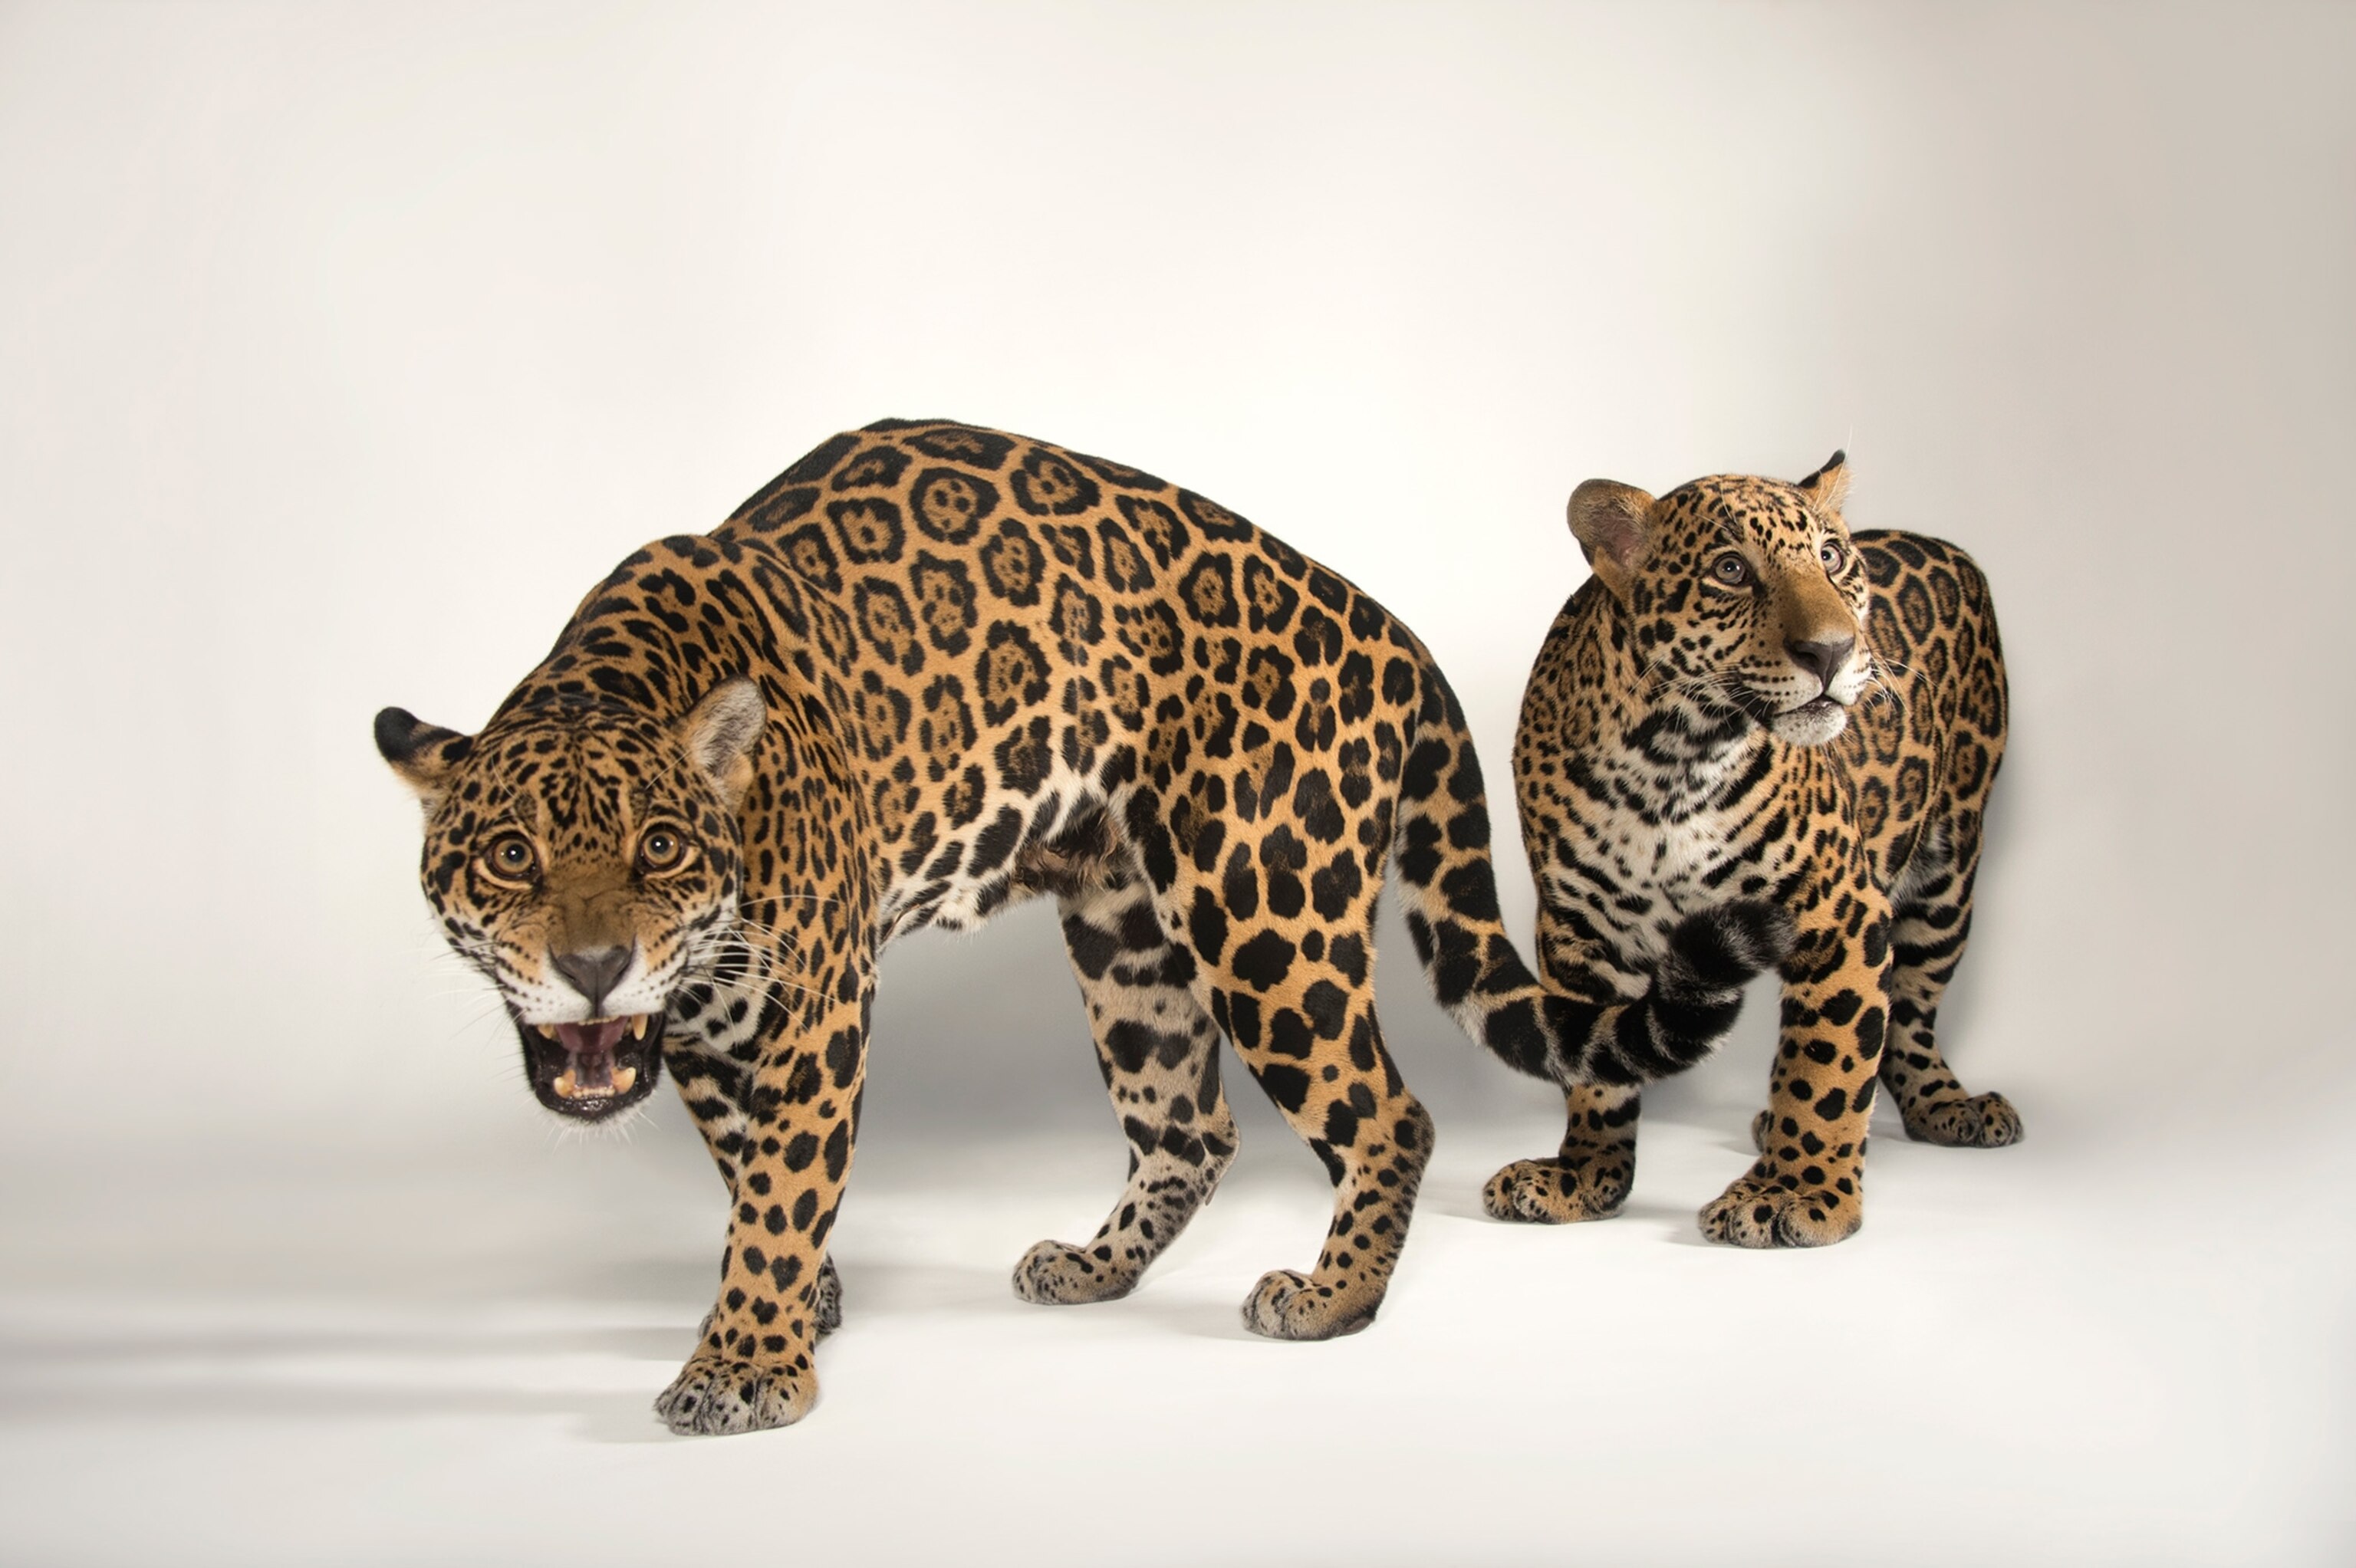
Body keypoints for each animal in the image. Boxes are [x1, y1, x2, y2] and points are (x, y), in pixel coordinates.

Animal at [374, 420, 1789, 1435]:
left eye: (659, 850)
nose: (594, 968)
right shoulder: (712, 1029)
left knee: (1386, 1112)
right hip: (1126, 933)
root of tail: (1396, 636)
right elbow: (748, 1171)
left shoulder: (816, 1005)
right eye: (510, 857)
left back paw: (1328, 1301)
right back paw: (1095, 1269)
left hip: (1262, 908)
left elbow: (781, 1184)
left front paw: (746, 1366)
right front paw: (802, 1308)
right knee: (1191, 1128)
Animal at [1482, 450, 2019, 1250]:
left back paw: (1944, 1106)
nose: (1833, 650)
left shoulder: (1841, 913)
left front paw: (1799, 1193)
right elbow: (1595, 1069)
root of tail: (1942, 544)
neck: (1672, 759)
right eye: (1731, 570)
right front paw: (1584, 1177)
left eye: (1831, 559)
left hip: (1948, 870)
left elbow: (1827, 1066)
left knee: (1910, 1012)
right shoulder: (1578, 928)